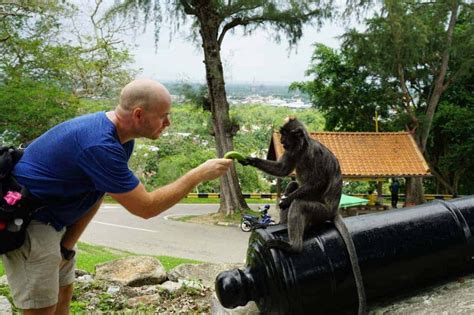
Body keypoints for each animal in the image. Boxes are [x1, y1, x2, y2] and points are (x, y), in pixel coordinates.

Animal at [241, 118, 366, 315]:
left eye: (285, 135)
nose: (282, 140)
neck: (301, 148)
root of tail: (334, 209)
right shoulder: (293, 152)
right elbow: (283, 170)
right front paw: (251, 160)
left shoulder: (311, 155)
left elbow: (318, 181)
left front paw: (285, 201)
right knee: (292, 184)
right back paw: (281, 224)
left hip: (321, 211)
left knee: (299, 203)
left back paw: (293, 245)